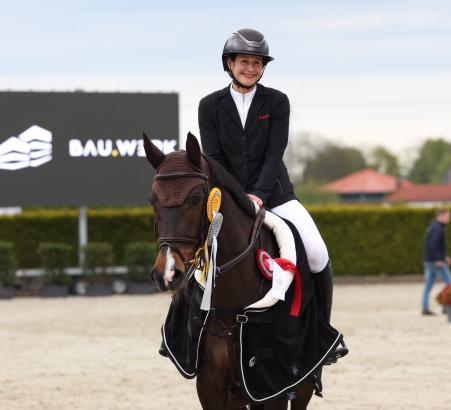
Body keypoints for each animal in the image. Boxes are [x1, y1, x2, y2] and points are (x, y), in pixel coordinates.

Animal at [145, 133, 342, 408]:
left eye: (195, 199)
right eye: (152, 200)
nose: (168, 273)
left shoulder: (272, 388)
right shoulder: (210, 386)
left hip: (302, 382)